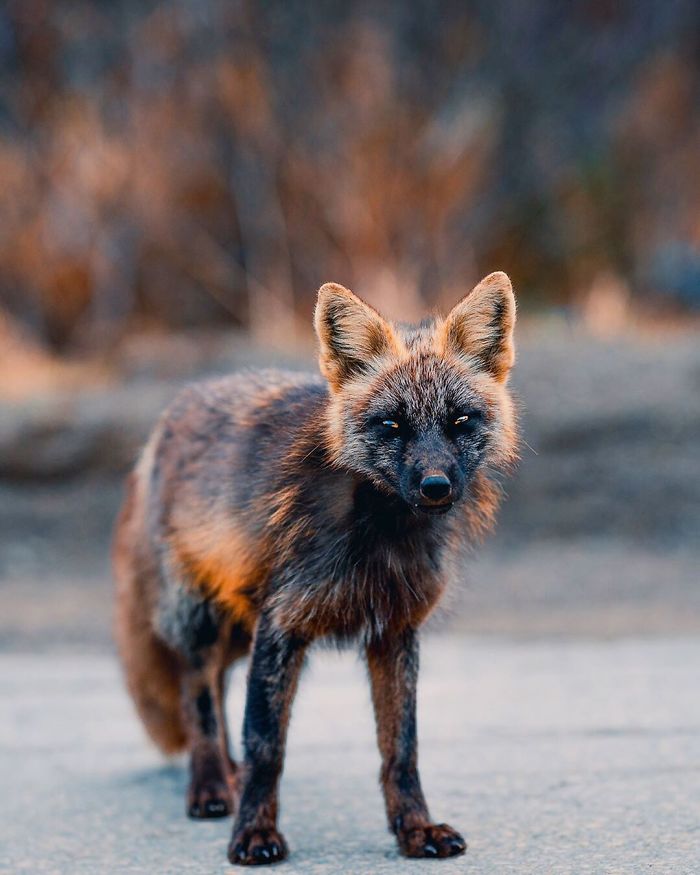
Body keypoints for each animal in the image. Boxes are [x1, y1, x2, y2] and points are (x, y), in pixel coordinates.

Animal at [113, 271, 518, 866]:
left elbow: (401, 749)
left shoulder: (395, 631)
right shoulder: (282, 625)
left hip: (239, 628)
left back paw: (225, 775)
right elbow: (266, 746)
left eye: (460, 421)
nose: (435, 486)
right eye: (392, 425)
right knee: (198, 697)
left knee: (218, 690)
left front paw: (414, 829)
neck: (377, 538)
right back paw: (211, 786)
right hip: (204, 620)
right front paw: (253, 835)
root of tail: (175, 408)